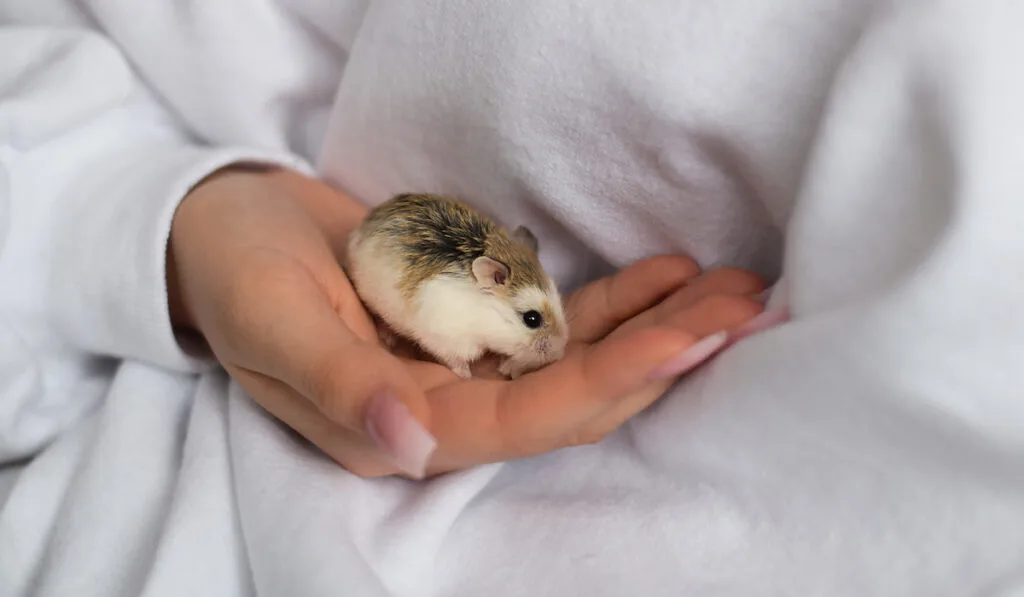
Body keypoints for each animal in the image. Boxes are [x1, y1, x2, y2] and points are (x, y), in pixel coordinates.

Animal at [344, 193, 569, 380]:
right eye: (532, 319)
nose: (559, 353)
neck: (484, 315)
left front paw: (510, 367)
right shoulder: (448, 340)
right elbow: (456, 360)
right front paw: (467, 375)